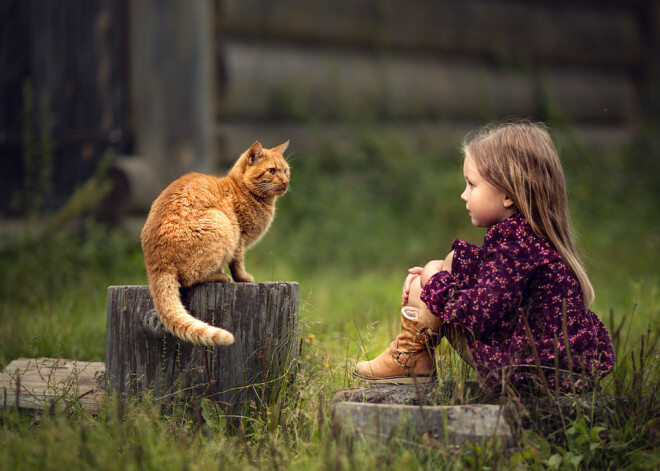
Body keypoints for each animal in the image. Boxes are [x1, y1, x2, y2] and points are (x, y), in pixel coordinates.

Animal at [141, 140, 290, 346]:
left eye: (286, 171)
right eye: (272, 171)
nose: (285, 182)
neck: (242, 189)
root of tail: (156, 263)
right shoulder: (239, 239)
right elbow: (238, 265)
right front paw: (244, 278)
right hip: (222, 224)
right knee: (190, 278)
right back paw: (221, 276)